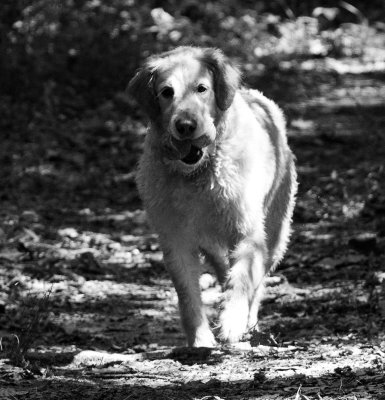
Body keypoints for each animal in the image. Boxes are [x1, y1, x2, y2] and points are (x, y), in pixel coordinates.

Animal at [127, 47, 296, 346]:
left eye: (201, 88)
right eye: (166, 92)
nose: (185, 126)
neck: (199, 174)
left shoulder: (248, 232)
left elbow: (242, 279)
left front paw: (232, 322)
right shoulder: (176, 240)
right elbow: (187, 294)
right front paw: (200, 337)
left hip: (275, 231)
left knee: (257, 279)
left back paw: (248, 321)